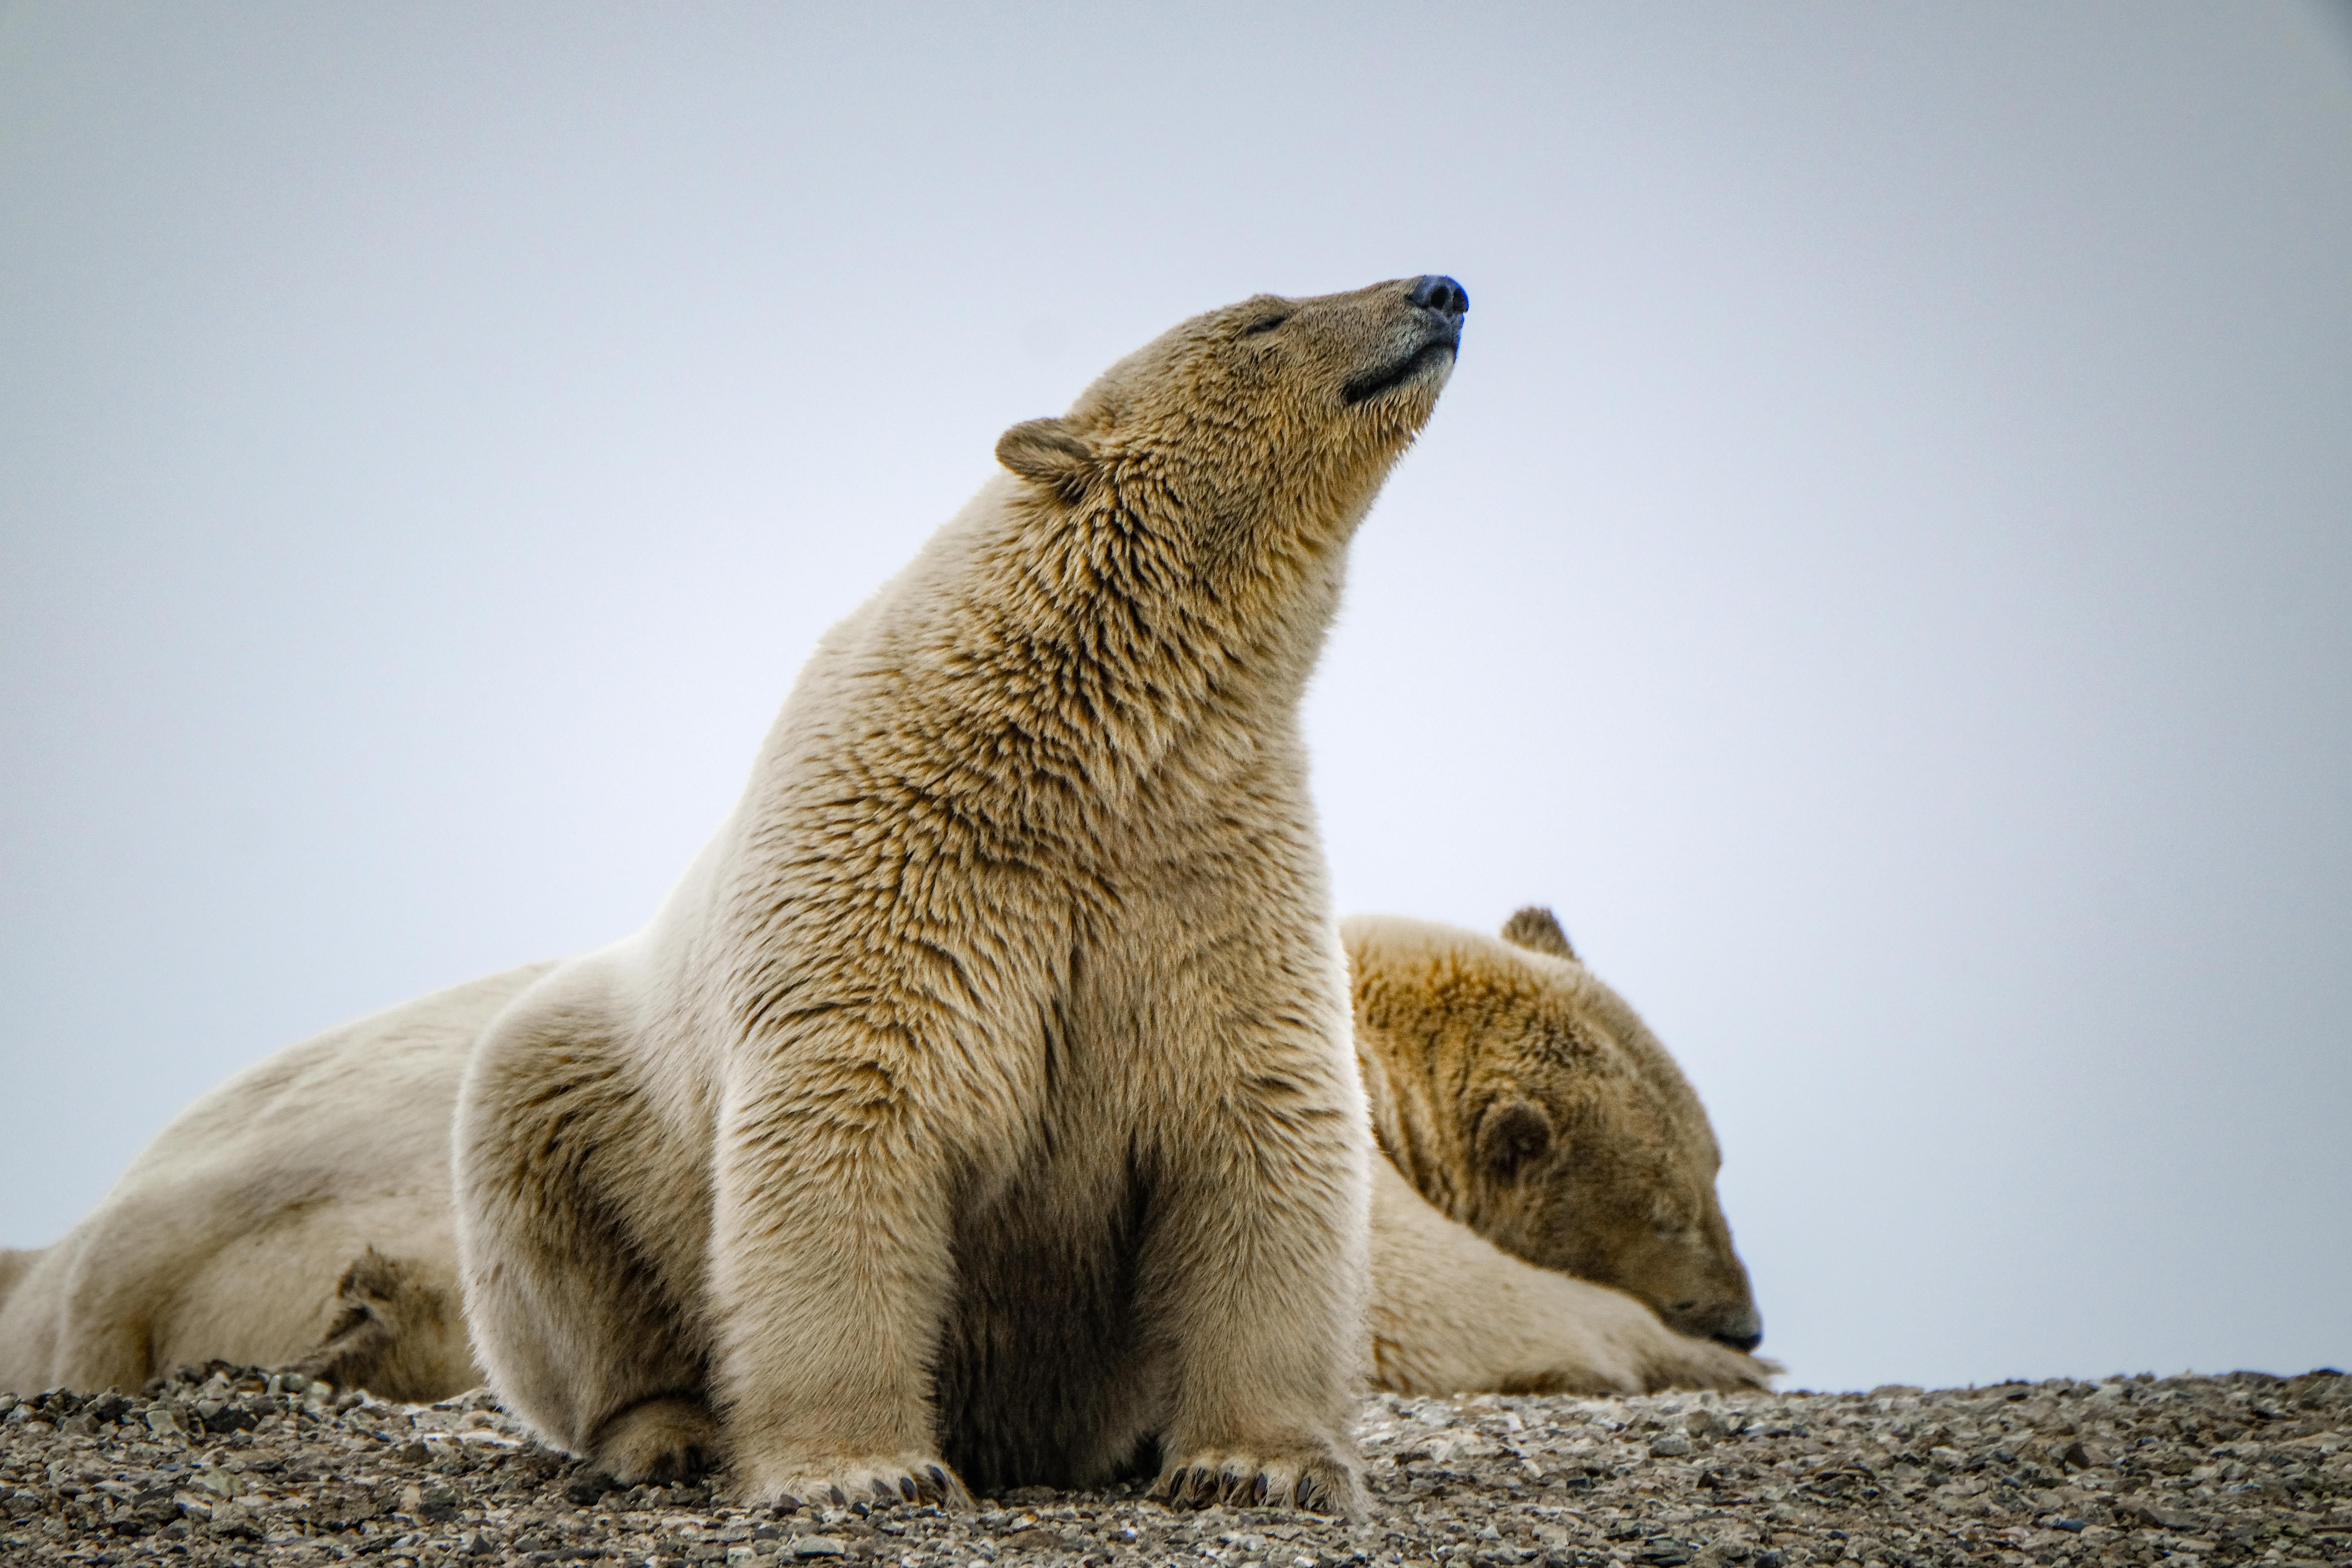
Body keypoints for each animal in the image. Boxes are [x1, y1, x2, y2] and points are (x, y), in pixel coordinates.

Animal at [0, 918, 1770, 1420]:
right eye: (1672, 1201)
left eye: (1719, 1158)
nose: (1746, 1316)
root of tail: (123, 1243)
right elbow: (1421, 1297)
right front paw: (1680, 1361)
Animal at [443, 275, 1478, 1515]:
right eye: (1262, 319)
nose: (1440, 290)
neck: (1083, 748)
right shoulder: (897, 867)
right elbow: (851, 1114)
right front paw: (862, 1469)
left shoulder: (1206, 869)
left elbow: (1259, 1115)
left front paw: (1255, 1464)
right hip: (585, 1093)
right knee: (554, 1221)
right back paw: (668, 1433)